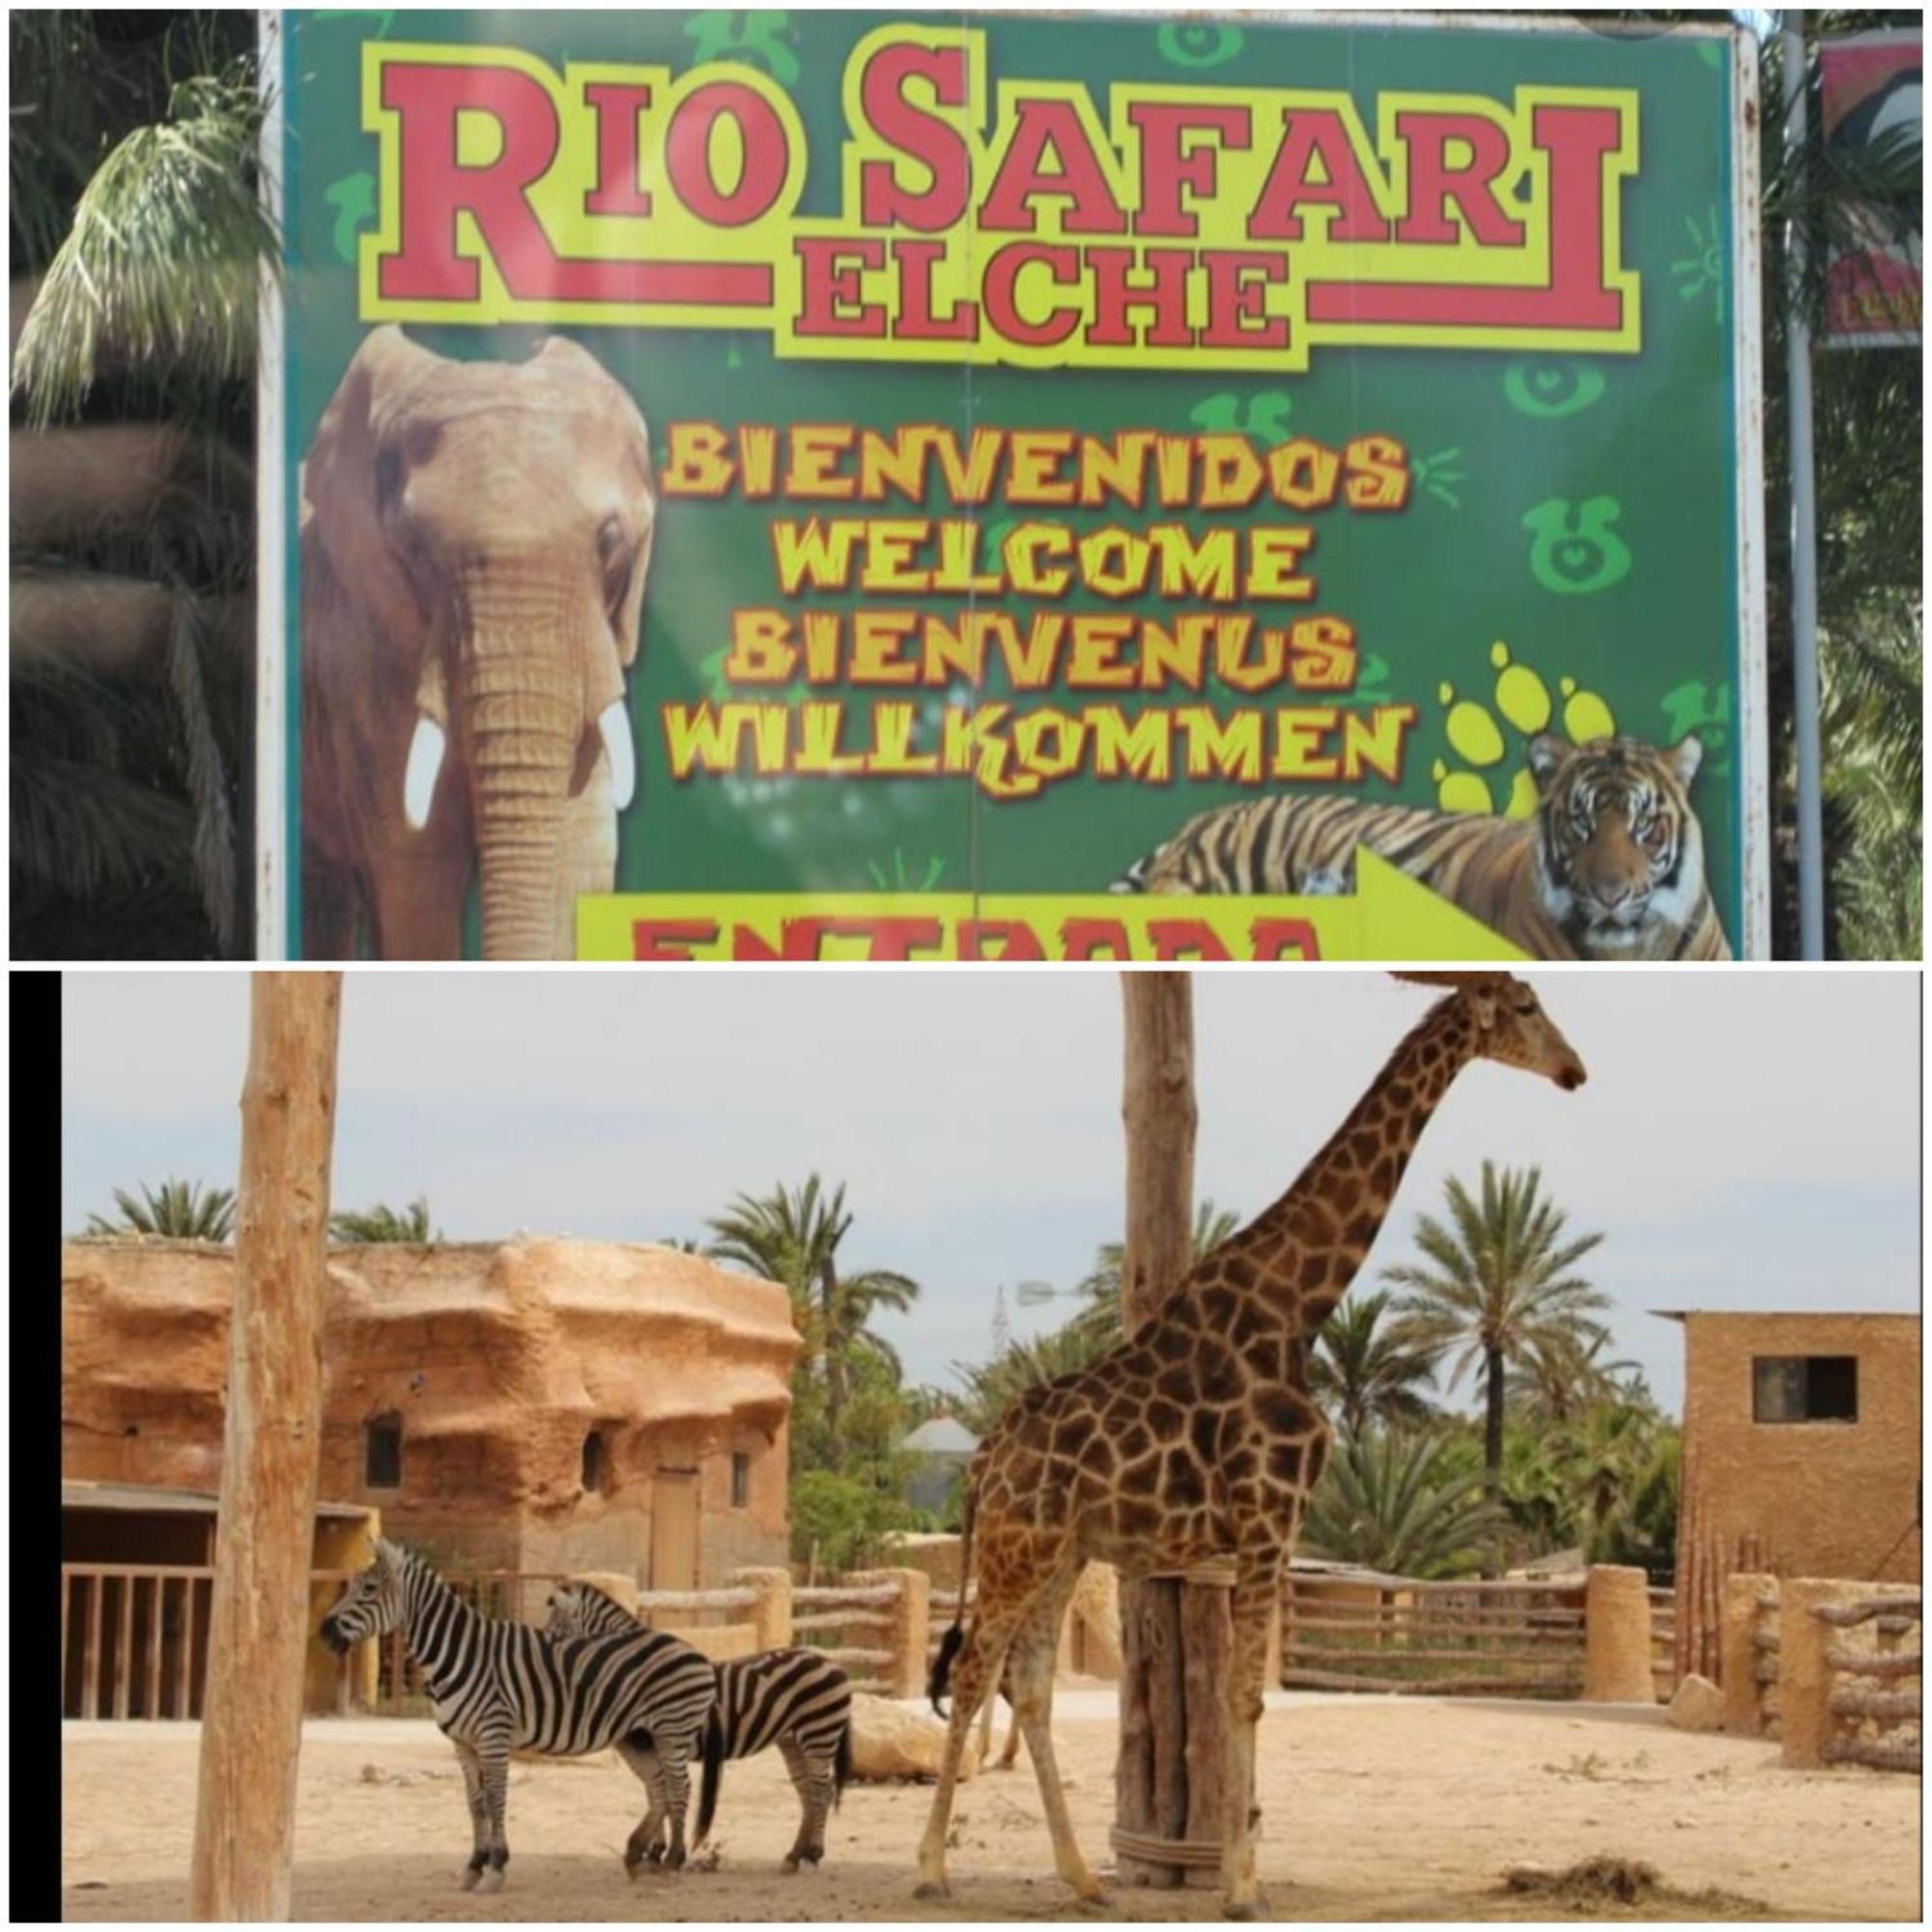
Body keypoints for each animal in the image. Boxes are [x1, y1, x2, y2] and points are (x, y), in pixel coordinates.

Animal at [321, 1538, 723, 1886]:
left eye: (369, 1589)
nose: (324, 1631)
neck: (460, 1653)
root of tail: (696, 1654)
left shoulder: (493, 1735)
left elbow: (496, 1798)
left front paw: (496, 1866)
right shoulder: (463, 1744)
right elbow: (475, 1804)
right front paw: (474, 1865)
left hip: (671, 1729)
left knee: (680, 1786)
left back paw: (672, 1861)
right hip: (637, 1736)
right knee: (659, 1785)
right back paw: (640, 1856)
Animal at [541, 1569, 850, 1870]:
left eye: (554, 1629)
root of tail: (832, 1664)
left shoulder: (659, 1740)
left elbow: (664, 1790)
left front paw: (659, 1851)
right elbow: (658, 1790)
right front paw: (656, 1850)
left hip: (818, 1732)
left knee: (823, 1790)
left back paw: (814, 1852)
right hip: (791, 1740)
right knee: (807, 1791)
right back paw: (795, 1855)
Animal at [916, 974, 1584, 1909]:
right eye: (1526, 1007)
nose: (1575, 1071)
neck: (1297, 1308)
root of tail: (983, 1458)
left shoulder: (1259, 1531)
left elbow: (1241, 1695)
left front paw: (1236, 1877)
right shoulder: (1271, 1518)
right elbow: (1244, 1696)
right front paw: (1241, 1888)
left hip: (1063, 1554)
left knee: (1031, 1686)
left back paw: (1083, 1878)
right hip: (1023, 1548)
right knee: (978, 1674)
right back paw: (933, 1869)